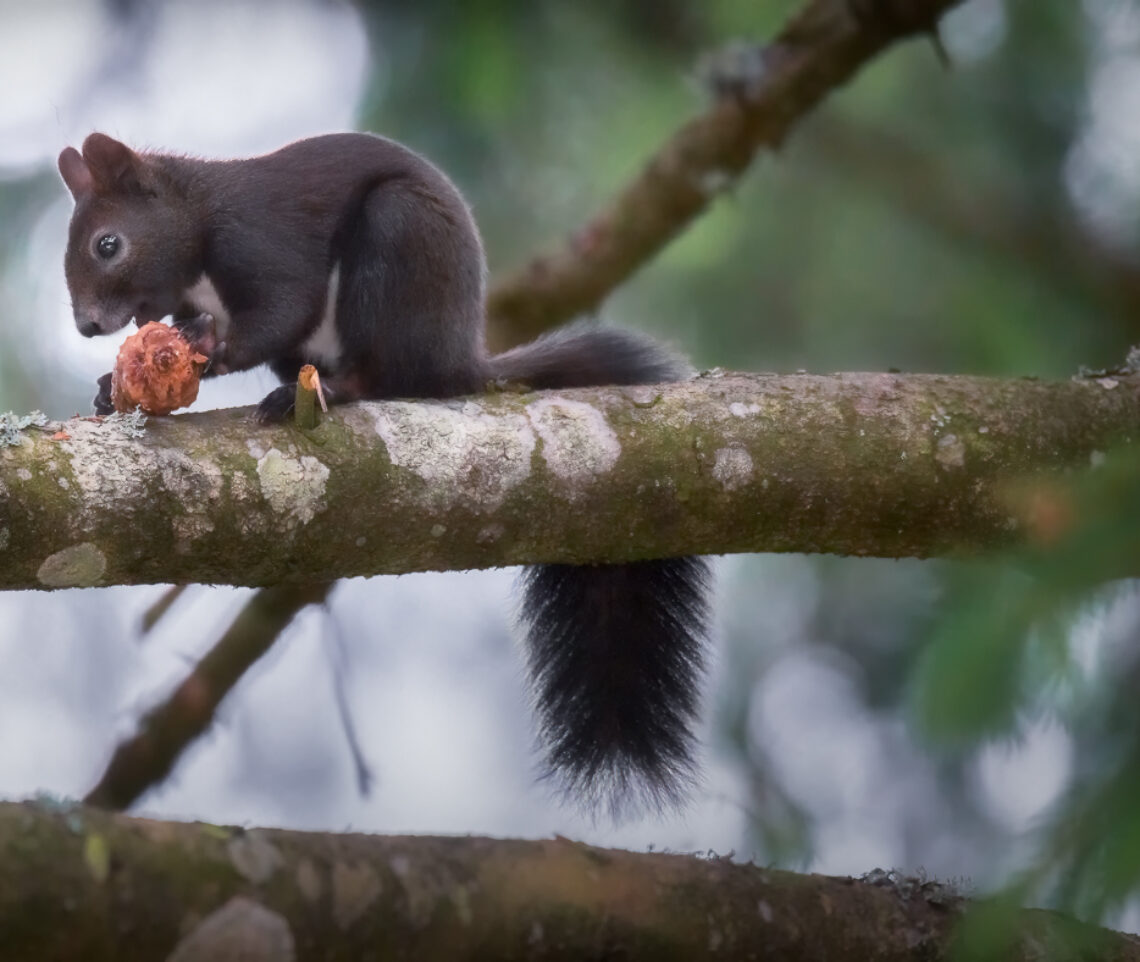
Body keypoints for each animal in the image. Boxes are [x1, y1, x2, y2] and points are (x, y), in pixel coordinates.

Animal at [57, 131, 711, 816]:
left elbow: (283, 308)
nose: (87, 325)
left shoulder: (261, 238)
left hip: (398, 243)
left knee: (384, 375)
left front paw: (206, 351)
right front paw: (110, 387)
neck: (197, 224)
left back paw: (326, 394)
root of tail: (457, 361)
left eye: (108, 244)